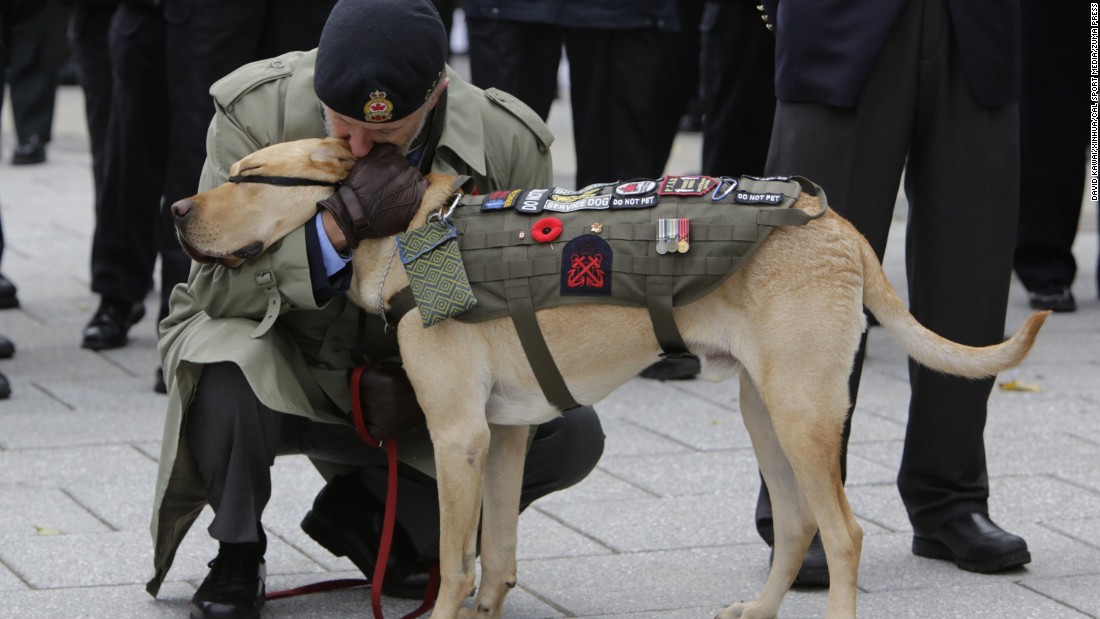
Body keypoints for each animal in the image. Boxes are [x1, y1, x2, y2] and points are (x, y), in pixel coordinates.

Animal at [173, 136, 1047, 619]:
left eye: (249, 175)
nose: (174, 210)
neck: (411, 229)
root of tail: (836, 224)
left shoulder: (459, 434)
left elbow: (457, 559)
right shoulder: (504, 434)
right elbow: (497, 553)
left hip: (801, 411)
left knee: (844, 532)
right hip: (763, 408)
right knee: (800, 524)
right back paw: (761, 607)